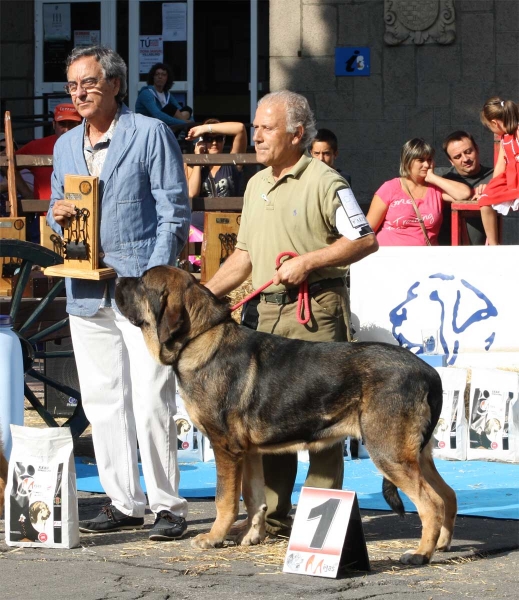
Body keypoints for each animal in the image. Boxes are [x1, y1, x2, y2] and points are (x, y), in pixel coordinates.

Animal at [116, 266, 458, 564]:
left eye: (142, 283)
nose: (117, 280)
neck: (199, 338)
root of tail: (429, 372)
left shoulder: (226, 448)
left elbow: (225, 500)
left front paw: (214, 538)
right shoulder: (248, 452)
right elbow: (254, 498)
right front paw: (251, 536)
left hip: (389, 453)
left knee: (431, 503)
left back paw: (420, 554)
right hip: (416, 455)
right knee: (448, 495)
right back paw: (441, 544)